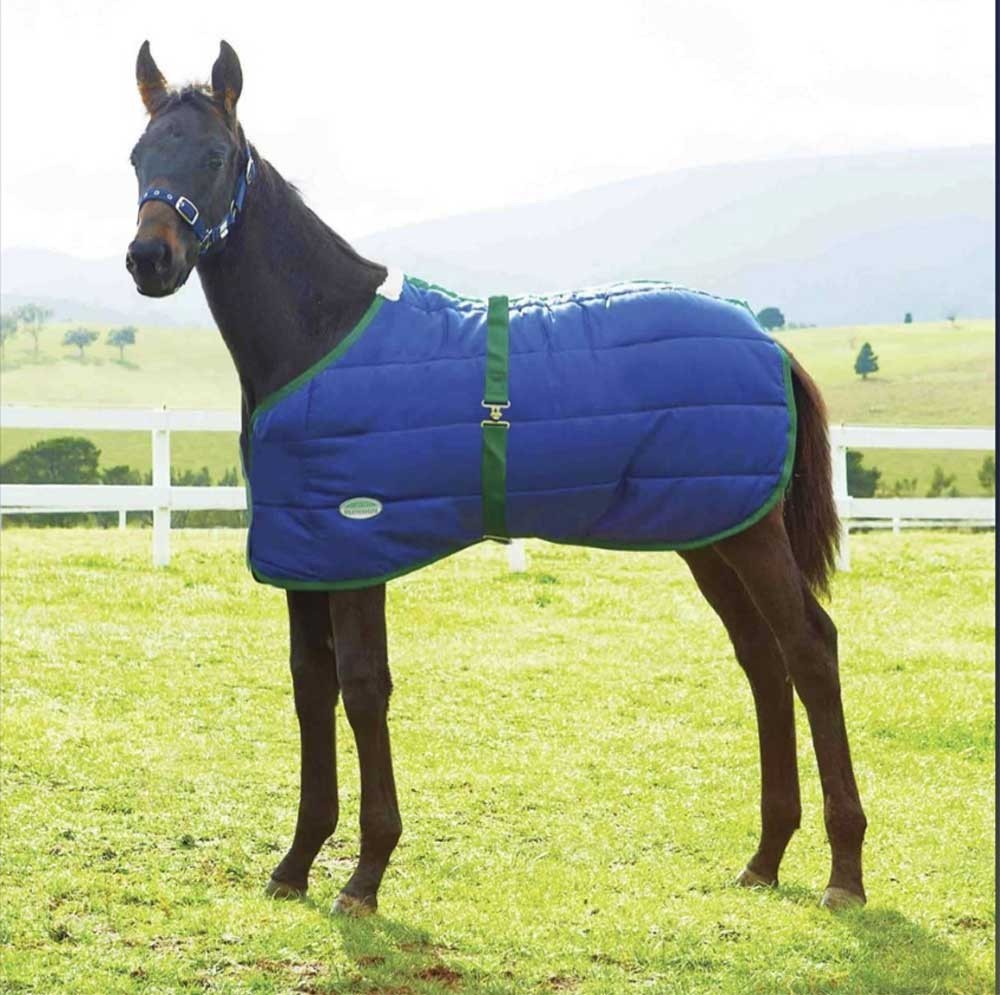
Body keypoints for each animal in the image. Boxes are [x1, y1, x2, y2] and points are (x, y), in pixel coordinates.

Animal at [125, 40, 867, 916]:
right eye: (138, 155)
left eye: (214, 156)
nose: (150, 260)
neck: (323, 334)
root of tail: (769, 341)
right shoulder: (306, 557)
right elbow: (312, 689)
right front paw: (297, 862)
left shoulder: (356, 549)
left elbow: (363, 687)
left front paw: (366, 874)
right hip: (710, 533)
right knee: (763, 659)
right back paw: (765, 857)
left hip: (749, 536)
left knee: (810, 649)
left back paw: (845, 872)